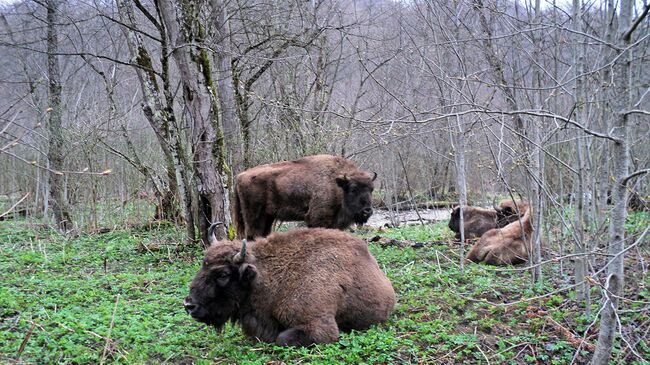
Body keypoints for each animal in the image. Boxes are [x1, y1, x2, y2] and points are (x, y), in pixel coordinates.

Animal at [232, 154, 374, 239]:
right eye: (353, 189)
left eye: (371, 189)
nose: (367, 211)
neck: (336, 184)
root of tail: (240, 176)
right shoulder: (317, 220)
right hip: (254, 217)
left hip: (268, 216)